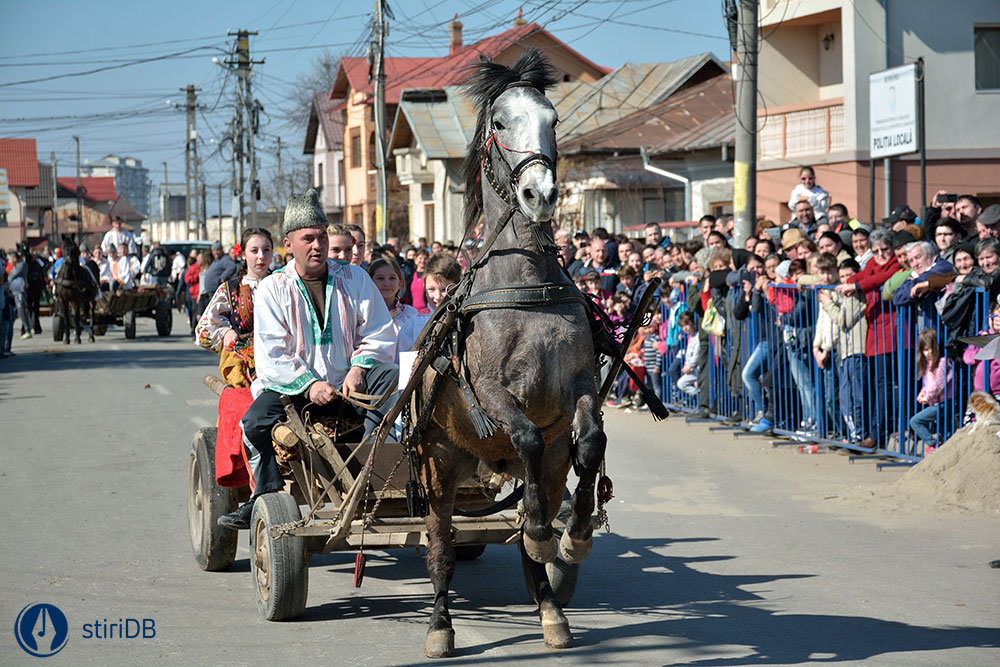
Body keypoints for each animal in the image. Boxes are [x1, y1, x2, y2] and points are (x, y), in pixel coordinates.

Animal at [418, 51, 604, 656]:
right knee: (441, 546)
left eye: (553, 119)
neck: (525, 286)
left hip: (545, 465)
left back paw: (551, 610)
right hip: (440, 466)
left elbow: (591, 441)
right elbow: (522, 434)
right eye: (500, 122)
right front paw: (548, 533)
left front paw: (574, 536)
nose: (540, 195)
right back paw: (440, 625)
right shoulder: (494, 393)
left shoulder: (580, 387)